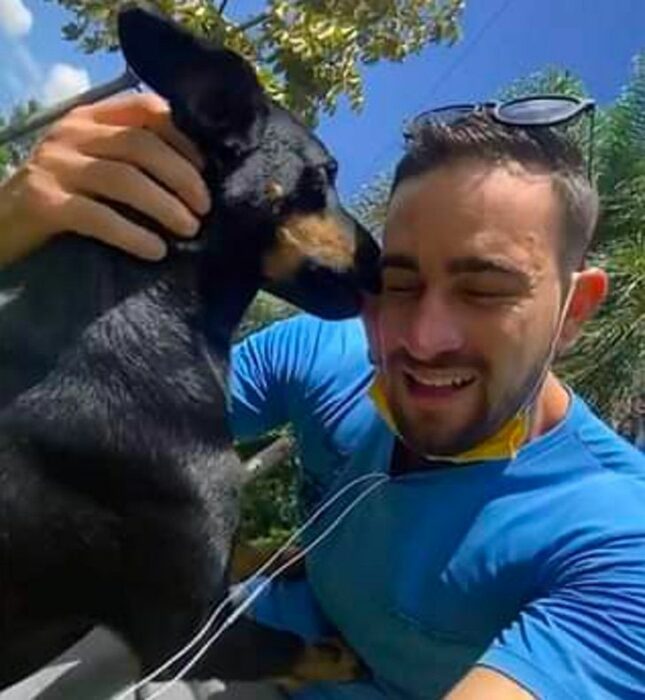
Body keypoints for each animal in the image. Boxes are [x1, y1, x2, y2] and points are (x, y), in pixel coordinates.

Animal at [0, 4, 382, 688]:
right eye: (326, 175)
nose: (385, 262)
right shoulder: (183, 634)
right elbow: (287, 645)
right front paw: (335, 654)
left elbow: (253, 549)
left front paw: (294, 554)